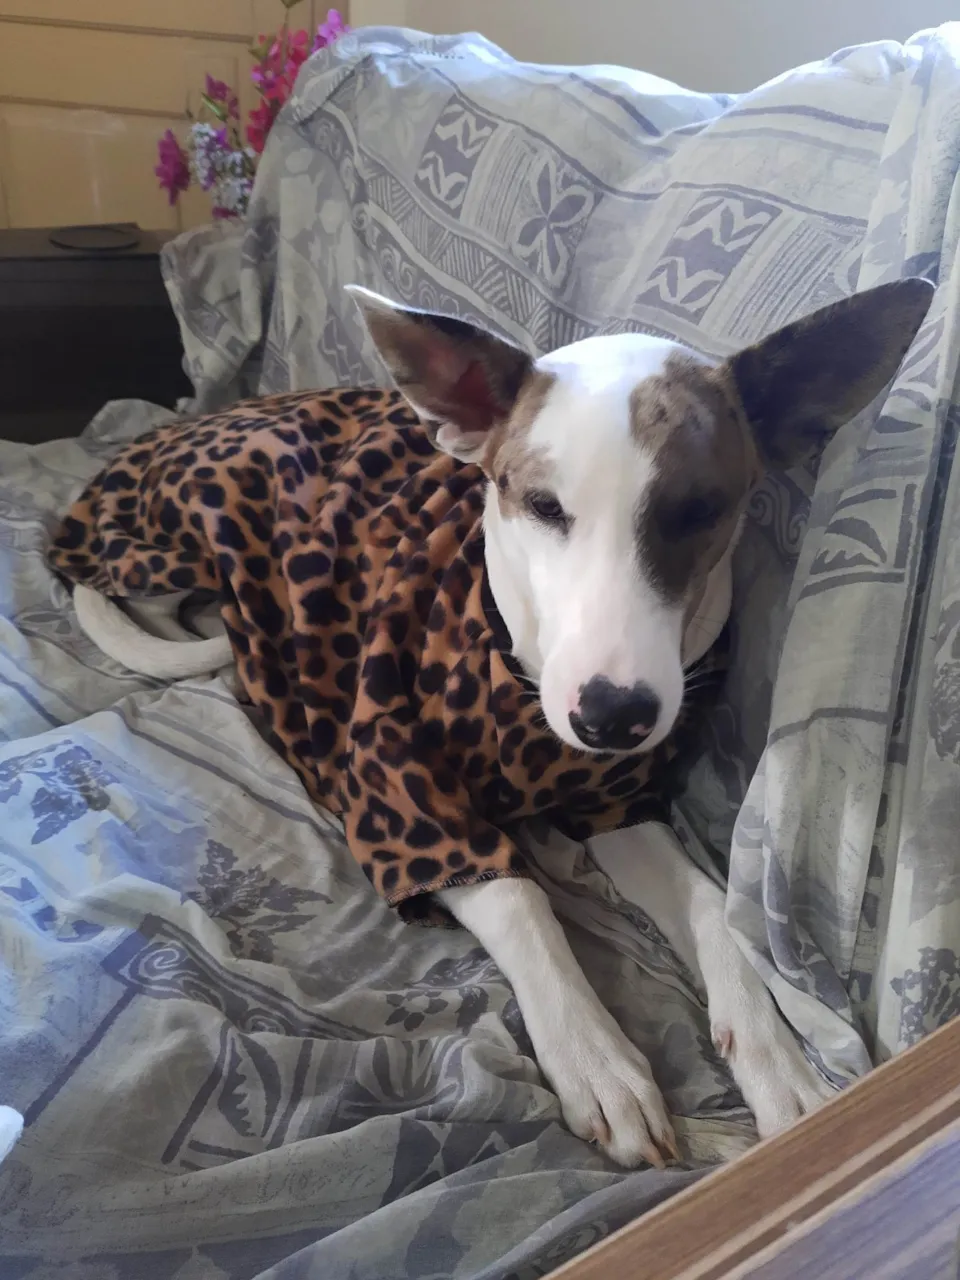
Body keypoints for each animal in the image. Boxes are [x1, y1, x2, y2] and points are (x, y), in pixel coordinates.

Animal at [61, 276, 932, 1168]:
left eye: (701, 511)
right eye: (542, 506)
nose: (612, 717)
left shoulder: (618, 805)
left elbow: (710, 911)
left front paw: (775, 1058)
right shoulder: (405, 805)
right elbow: (521, 899)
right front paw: (597, 1060)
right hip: (201, 537)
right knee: (131, 596)